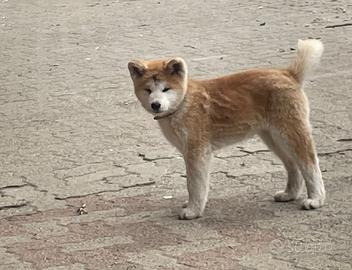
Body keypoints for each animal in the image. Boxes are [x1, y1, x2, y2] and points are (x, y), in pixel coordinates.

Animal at [128, 39, 326, 219]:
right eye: (148, 90)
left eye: (166, 89)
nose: (155, 105)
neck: (184, 102)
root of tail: (288, 74)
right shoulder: (188, 151)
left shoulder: (197, 151)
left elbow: (194, 183)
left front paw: (193, 210)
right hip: (273, 137)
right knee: (292, 164)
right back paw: (289, 194)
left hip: (290, 132)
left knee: (309, 163)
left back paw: (316, 199)